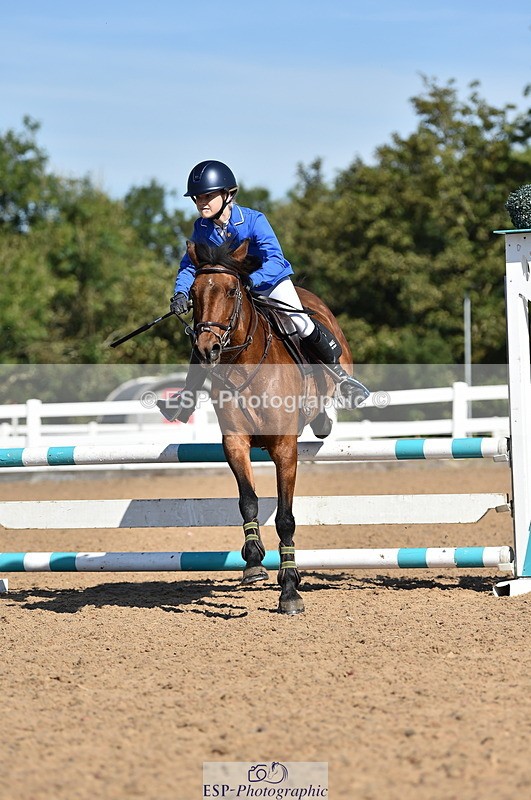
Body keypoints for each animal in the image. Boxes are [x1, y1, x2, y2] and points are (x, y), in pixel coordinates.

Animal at [187, 238, 359, 614]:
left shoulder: (284, 448)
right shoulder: (235, 442)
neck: (244, 365)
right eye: (192, 293)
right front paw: (253, 560)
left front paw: (290, 589)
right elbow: (248, 501)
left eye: (232, 290)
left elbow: (285, 517)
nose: (207, 349)